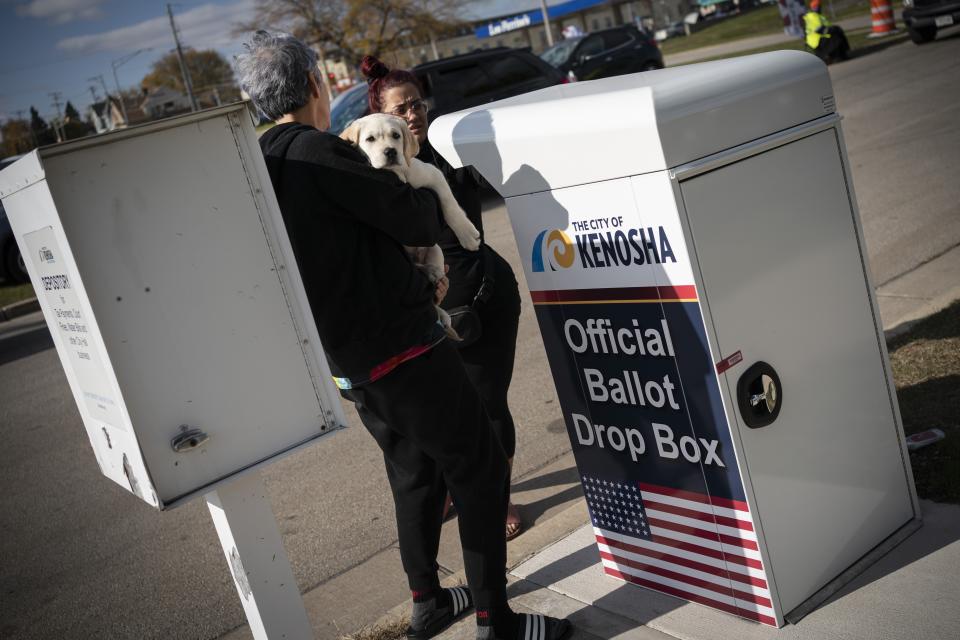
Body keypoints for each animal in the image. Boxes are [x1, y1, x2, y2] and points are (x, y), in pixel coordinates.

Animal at [342, 112, 484, 338]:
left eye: (396, 136)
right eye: (370, 139)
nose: (390, 151)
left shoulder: (432, 173)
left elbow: (448, 201)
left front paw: (467, 234)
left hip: (435, 250)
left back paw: (434, 277)